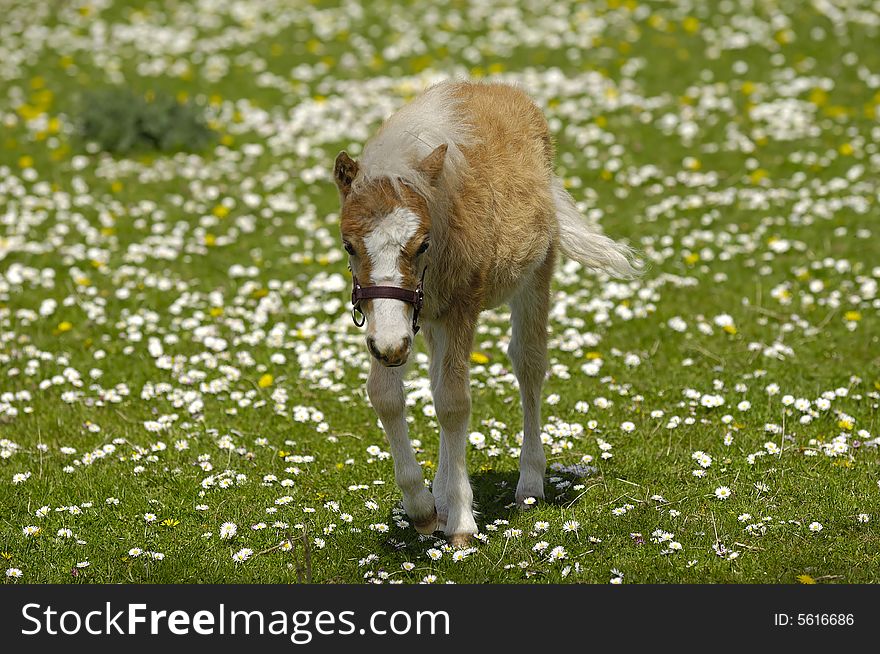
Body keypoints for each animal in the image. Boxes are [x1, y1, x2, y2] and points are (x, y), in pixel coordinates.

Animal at [334, 79, 636, 544]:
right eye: (349, 245)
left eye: (422, 244)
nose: (390, 347)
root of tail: (501, 87)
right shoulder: (403, 323)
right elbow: (386, 395)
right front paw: (423, 508)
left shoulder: (460, 309)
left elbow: (454, 403)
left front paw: (460, 523)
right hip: (431, 321)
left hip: (534, 276)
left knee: (528, 363)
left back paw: (528, 484)